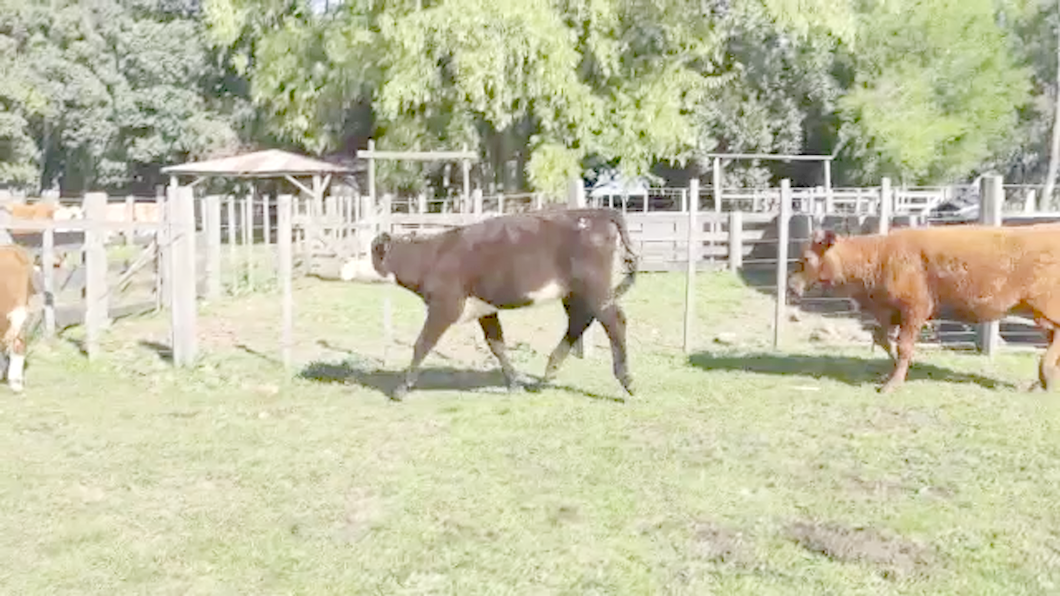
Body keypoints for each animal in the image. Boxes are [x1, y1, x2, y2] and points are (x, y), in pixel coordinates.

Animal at [370, 207, 635, 398]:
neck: (431, 256)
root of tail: (597, 212)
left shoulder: (444, 306)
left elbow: (422, 344)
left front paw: (402, 389)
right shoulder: (484, 309)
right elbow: (497, 344)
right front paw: (514, 384)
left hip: (594, 288)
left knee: (615, 321)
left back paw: (626, 381)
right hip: (575, 293)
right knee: (580, 320)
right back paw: (548, 374)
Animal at [788, 224, 1060, 392]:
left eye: (807, 258)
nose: (791, 286)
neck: (881, 255)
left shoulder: (914, 311)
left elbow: (903, 346)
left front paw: (891, 384)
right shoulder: (889, 312)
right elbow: (883, 338)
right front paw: (895, 372)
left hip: (1045, 310)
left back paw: (1044, 378)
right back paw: (1043, 382)